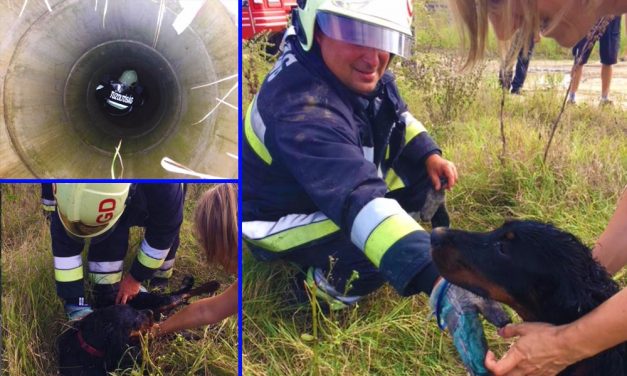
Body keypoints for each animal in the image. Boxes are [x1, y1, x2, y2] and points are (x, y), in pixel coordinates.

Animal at [58, 278, 221, 374]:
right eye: (134, 321)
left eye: (133, 309)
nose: (149, 312)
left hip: (160, 303)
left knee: (182, 295)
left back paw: (213, 285)